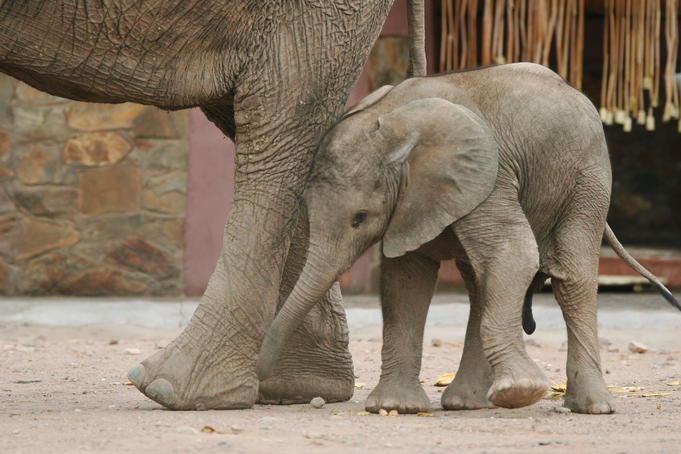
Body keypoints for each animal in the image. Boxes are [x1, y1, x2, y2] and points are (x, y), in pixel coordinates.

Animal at [257, 63, 681, 414]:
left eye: (360, 219)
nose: (259, 377)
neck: (394, 121)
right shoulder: (412, 202)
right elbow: (405, 281)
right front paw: (393, 407)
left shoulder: (489, 176)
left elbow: (514, 252)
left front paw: (521, 393)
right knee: (481, 283)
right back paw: (467, 403)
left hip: (587, 177)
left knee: (571, 276)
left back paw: (590, 407)